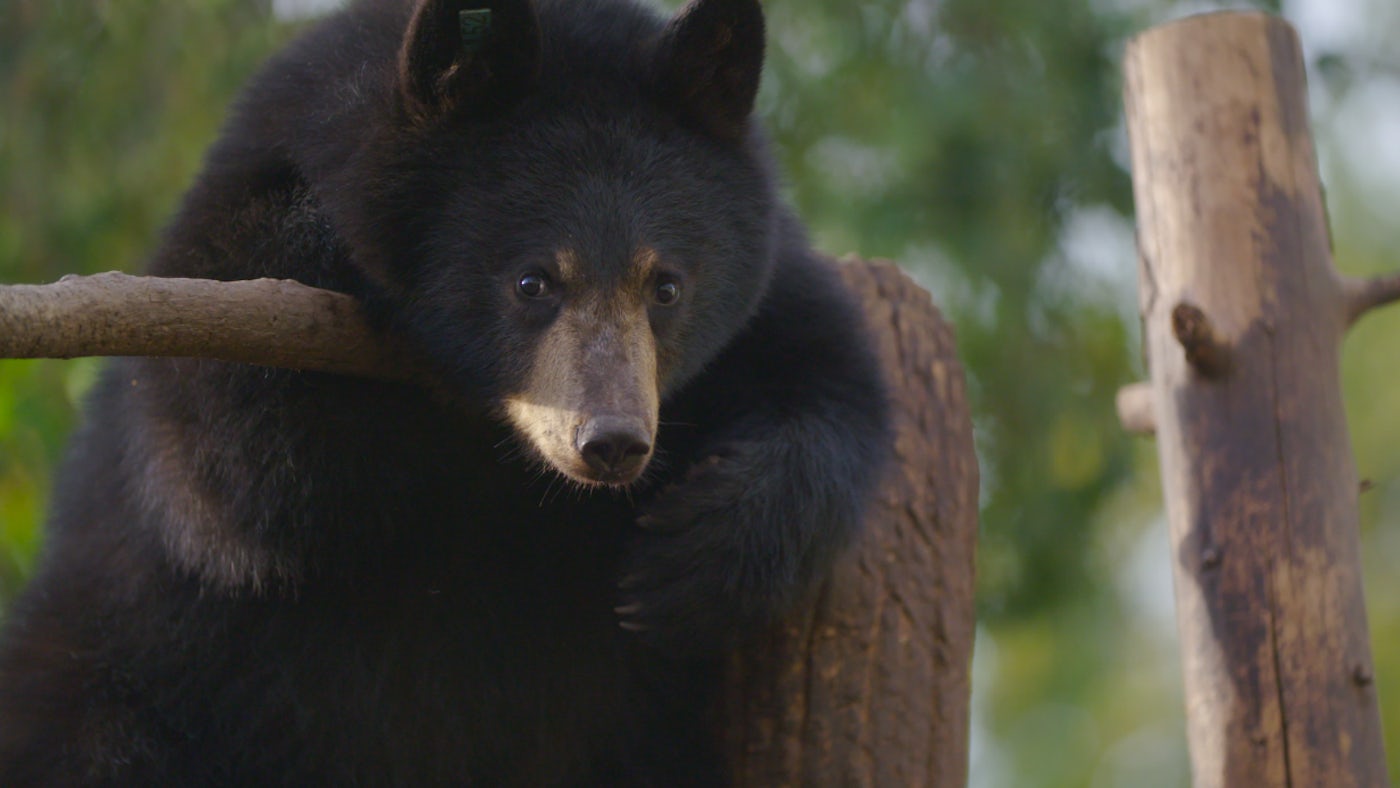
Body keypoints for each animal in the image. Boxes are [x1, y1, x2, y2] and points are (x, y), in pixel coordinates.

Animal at [0, 0, 890, 784]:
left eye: (666, 286)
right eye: (533, 281)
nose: (610, 443)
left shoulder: (771, 295)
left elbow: (833, 382)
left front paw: (691, 554)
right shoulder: (219, 261)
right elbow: (225, 478)